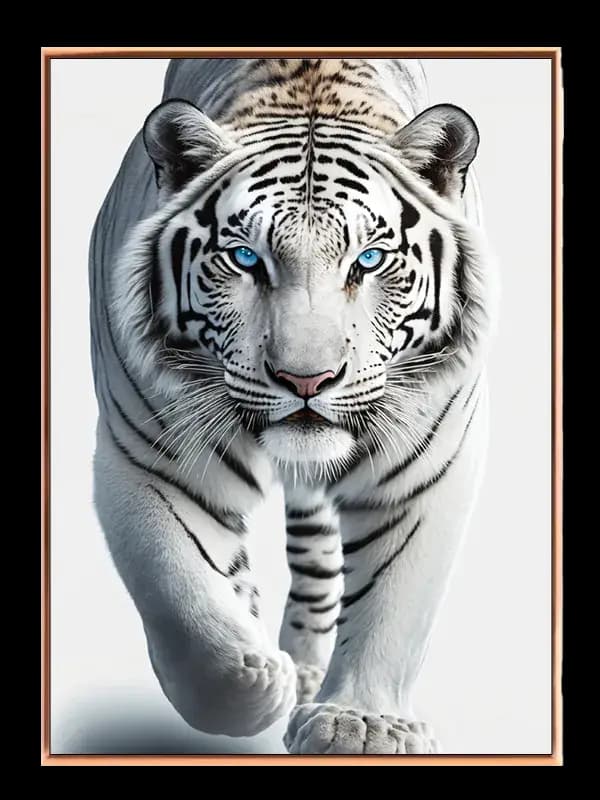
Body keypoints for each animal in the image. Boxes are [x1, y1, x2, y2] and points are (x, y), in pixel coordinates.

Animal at [89, 57, 498, 755]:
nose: (306, 380)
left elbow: (392, 605)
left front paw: (361, 724)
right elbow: (175, 585)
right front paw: (249, 684)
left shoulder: (424, 469)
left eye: (369, 260)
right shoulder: (147, 456)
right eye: (245, 258)